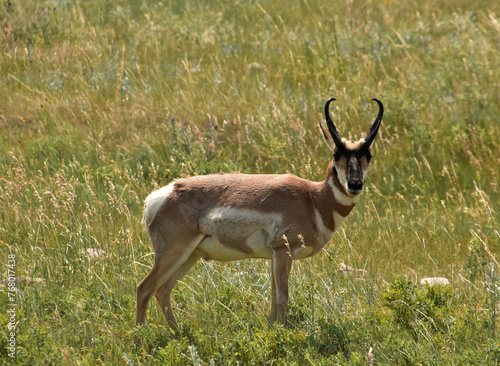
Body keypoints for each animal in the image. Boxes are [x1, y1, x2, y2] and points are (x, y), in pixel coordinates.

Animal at [135, 98, 384, 328]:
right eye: (336, 154)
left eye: (369, 155)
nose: (355, 184)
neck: (313, 198)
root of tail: (160, 195)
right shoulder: (283, 251)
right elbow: (282, 297)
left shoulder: (275, 256)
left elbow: (273, 299)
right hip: (174, 252)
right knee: (144, 288)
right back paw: (141, 337)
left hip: (190, 255)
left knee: (162, 291)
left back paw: (178, 333)